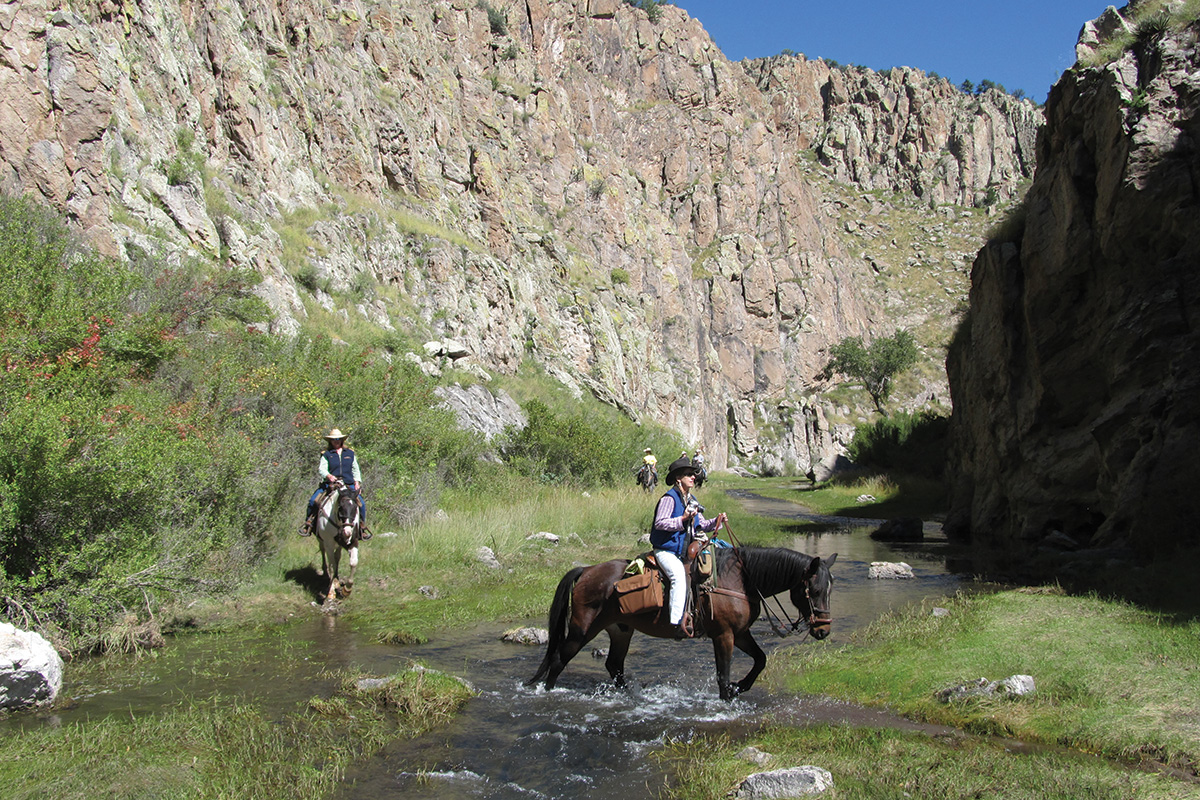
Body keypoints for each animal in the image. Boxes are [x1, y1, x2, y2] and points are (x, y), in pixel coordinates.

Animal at [525, 551, 835, 700]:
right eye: (814, 590)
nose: (823, 630)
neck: (740, 580)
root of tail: (587, 570)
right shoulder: (724, 635)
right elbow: (723, 673)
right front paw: (728, 698)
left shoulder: (741, 634)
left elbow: (760, 660)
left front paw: (740, 688)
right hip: (582, 630)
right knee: (559, 660)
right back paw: (548, 692)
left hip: (621, 630)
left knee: (614, 665)